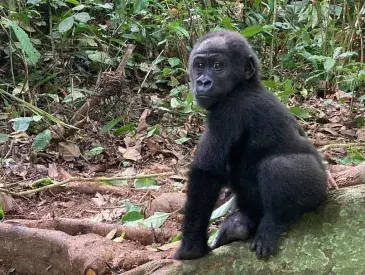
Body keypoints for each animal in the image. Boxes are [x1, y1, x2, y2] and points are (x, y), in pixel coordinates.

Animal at [173, 30, 328, 260]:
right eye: (199, 65)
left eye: (218, 66)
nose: (203, 82)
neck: (245, 85)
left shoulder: (228, 111)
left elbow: (206, 174)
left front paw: (191, 248)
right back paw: (238, 225)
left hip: (318, 187)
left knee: (278, 167)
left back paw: (273, 223)